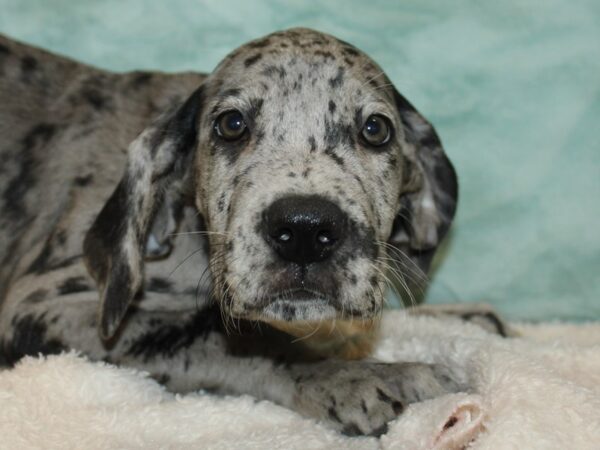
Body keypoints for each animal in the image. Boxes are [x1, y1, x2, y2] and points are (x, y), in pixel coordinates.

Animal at [0, 28, 496, 436]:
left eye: (376, 129)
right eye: (231, 124)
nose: (304, 229)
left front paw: (465, 315)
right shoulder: (42, 309)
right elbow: (242, 339)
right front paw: (366, 376)